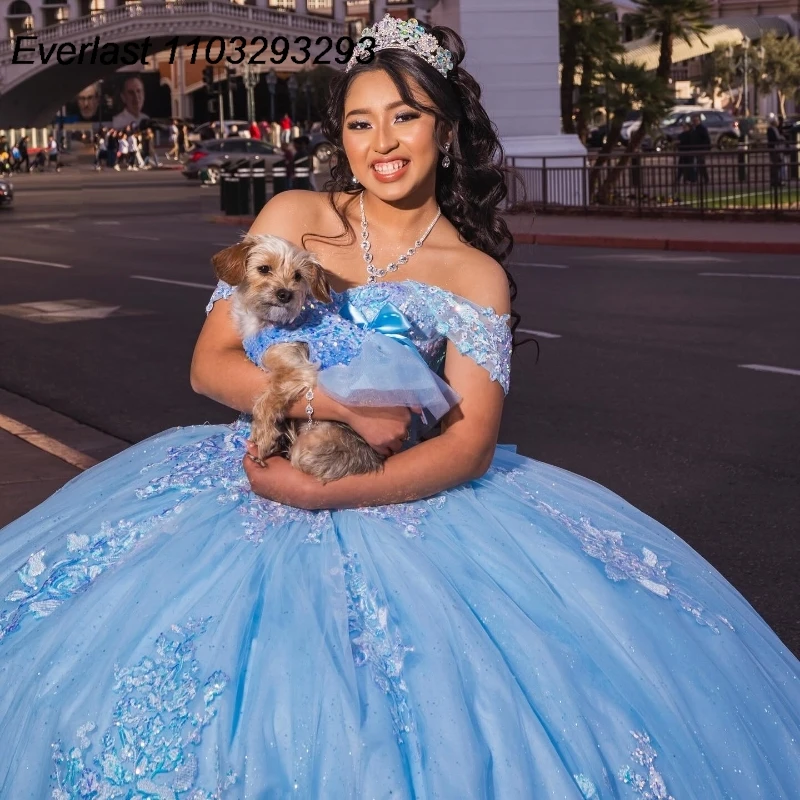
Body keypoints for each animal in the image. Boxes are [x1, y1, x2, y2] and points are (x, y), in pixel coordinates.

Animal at [211, 231, 386, 482]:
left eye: (298, 276)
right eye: (264, 269)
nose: (285, 294)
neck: (268, 322)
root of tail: (374, 461)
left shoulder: (296, 370)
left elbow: (266, 401)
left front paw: (263, 437)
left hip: (310, 445)